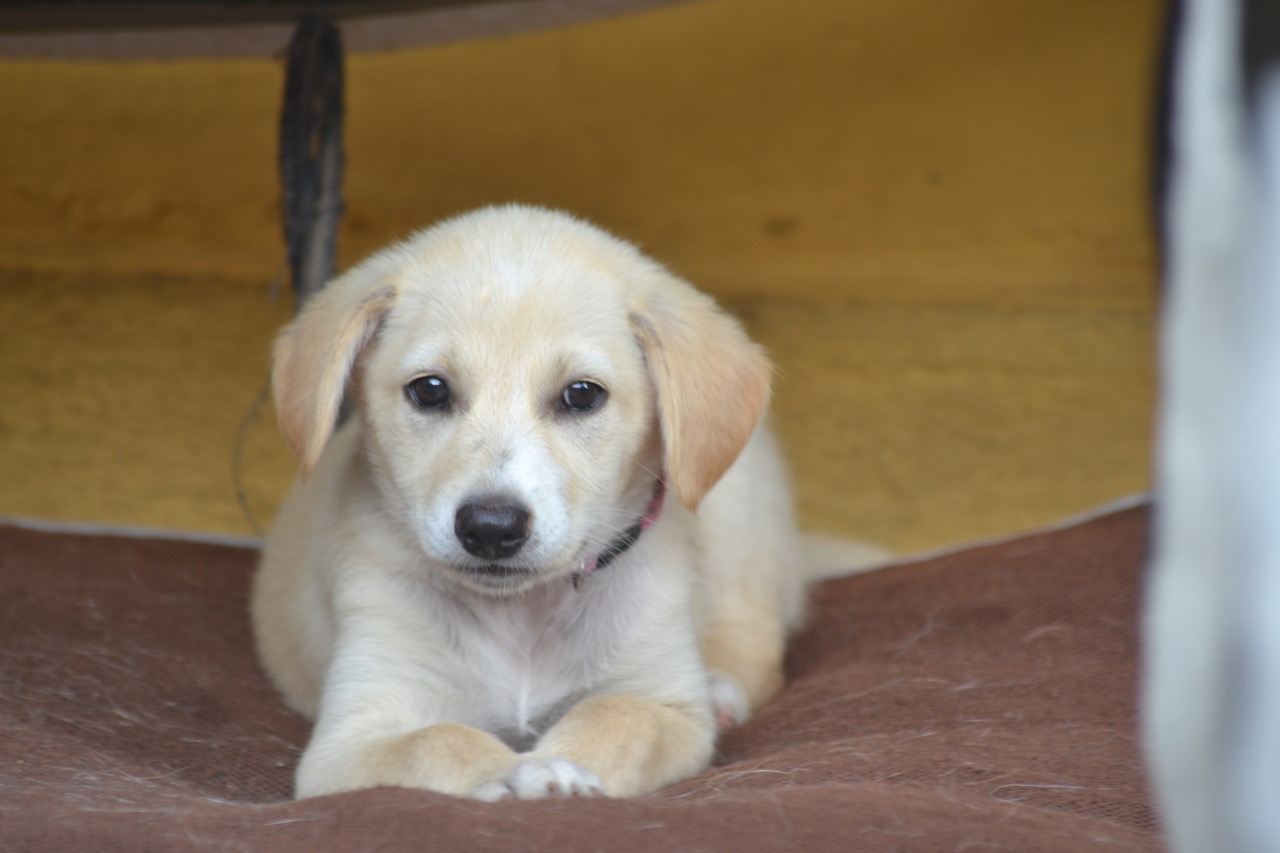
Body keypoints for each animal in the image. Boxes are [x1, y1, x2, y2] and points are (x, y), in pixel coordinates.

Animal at [253, 204, 810, 801]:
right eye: (429, 390)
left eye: (582, 395)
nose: (491, 528)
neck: (521, 614)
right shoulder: (355, 730)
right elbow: (438, 740)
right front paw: (511, 771)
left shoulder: (667, 704)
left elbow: (615, 717)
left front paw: (556, 768)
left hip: (739, 518)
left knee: (755, 638)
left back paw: (724, 687)